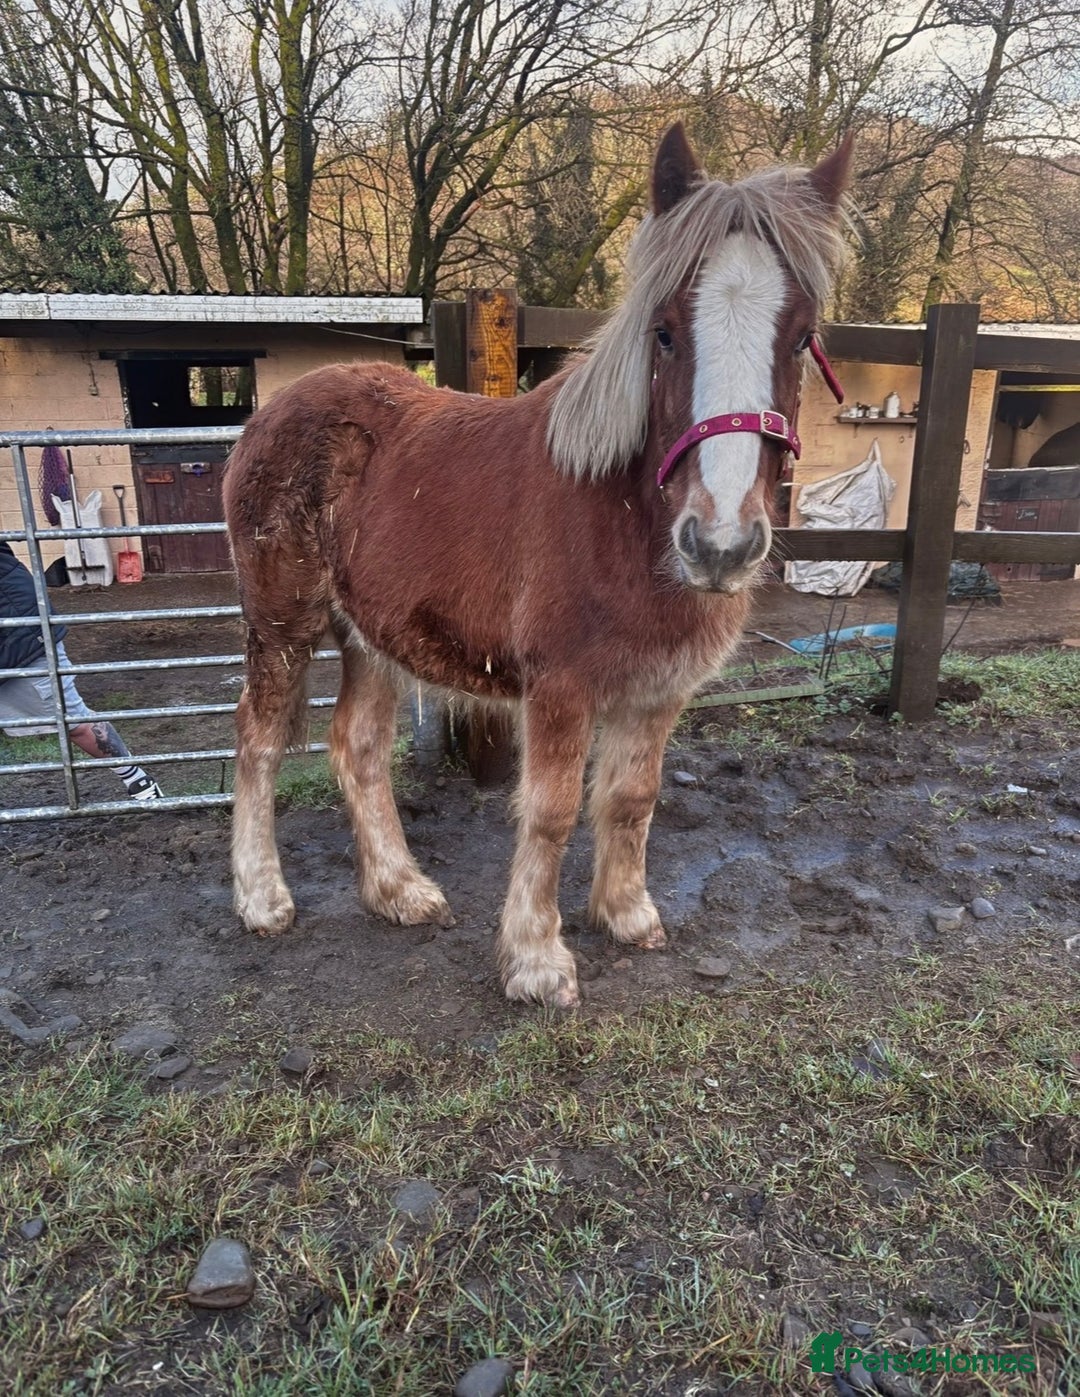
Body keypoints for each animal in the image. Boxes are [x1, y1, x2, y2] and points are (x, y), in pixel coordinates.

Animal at [223, 122, 852, 1008]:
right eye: (665, 331)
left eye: (801, 337)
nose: (721, 544)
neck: (625, 521)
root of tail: (274, 407)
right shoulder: (560, 688)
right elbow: (552, 810)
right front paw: (535, 958)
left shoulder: (658, 689)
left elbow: (631, 798)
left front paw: (625, 912)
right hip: (282, 622)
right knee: (259, 740)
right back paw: (262, 897)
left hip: (368, 634)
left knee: (358, 746)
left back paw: (399, 890)